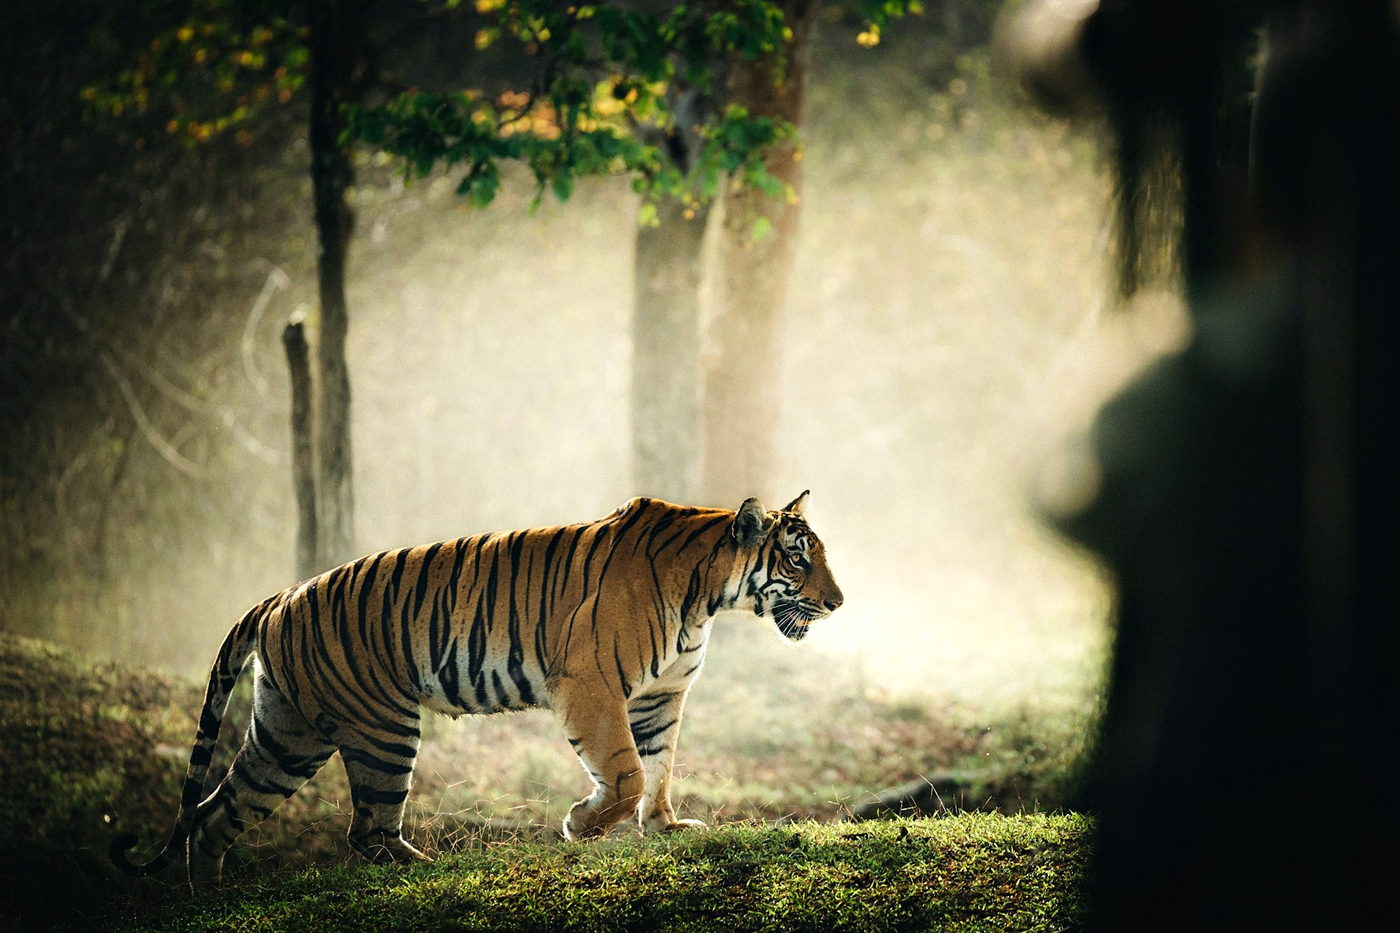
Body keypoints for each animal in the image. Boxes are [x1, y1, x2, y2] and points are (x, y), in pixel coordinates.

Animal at [111, 491, 842, 885]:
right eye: (797, 558)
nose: (838, 603)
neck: (708, 596)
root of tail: (279, 596)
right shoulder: (591, 684)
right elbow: (628, 772)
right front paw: (581, 825)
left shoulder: (661, 697)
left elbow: (659, 769)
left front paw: (665, 828)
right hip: (382, 727)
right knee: (365, 828)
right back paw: (427, 868)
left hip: (287, 734)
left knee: (218, 813)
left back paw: (211, 893)